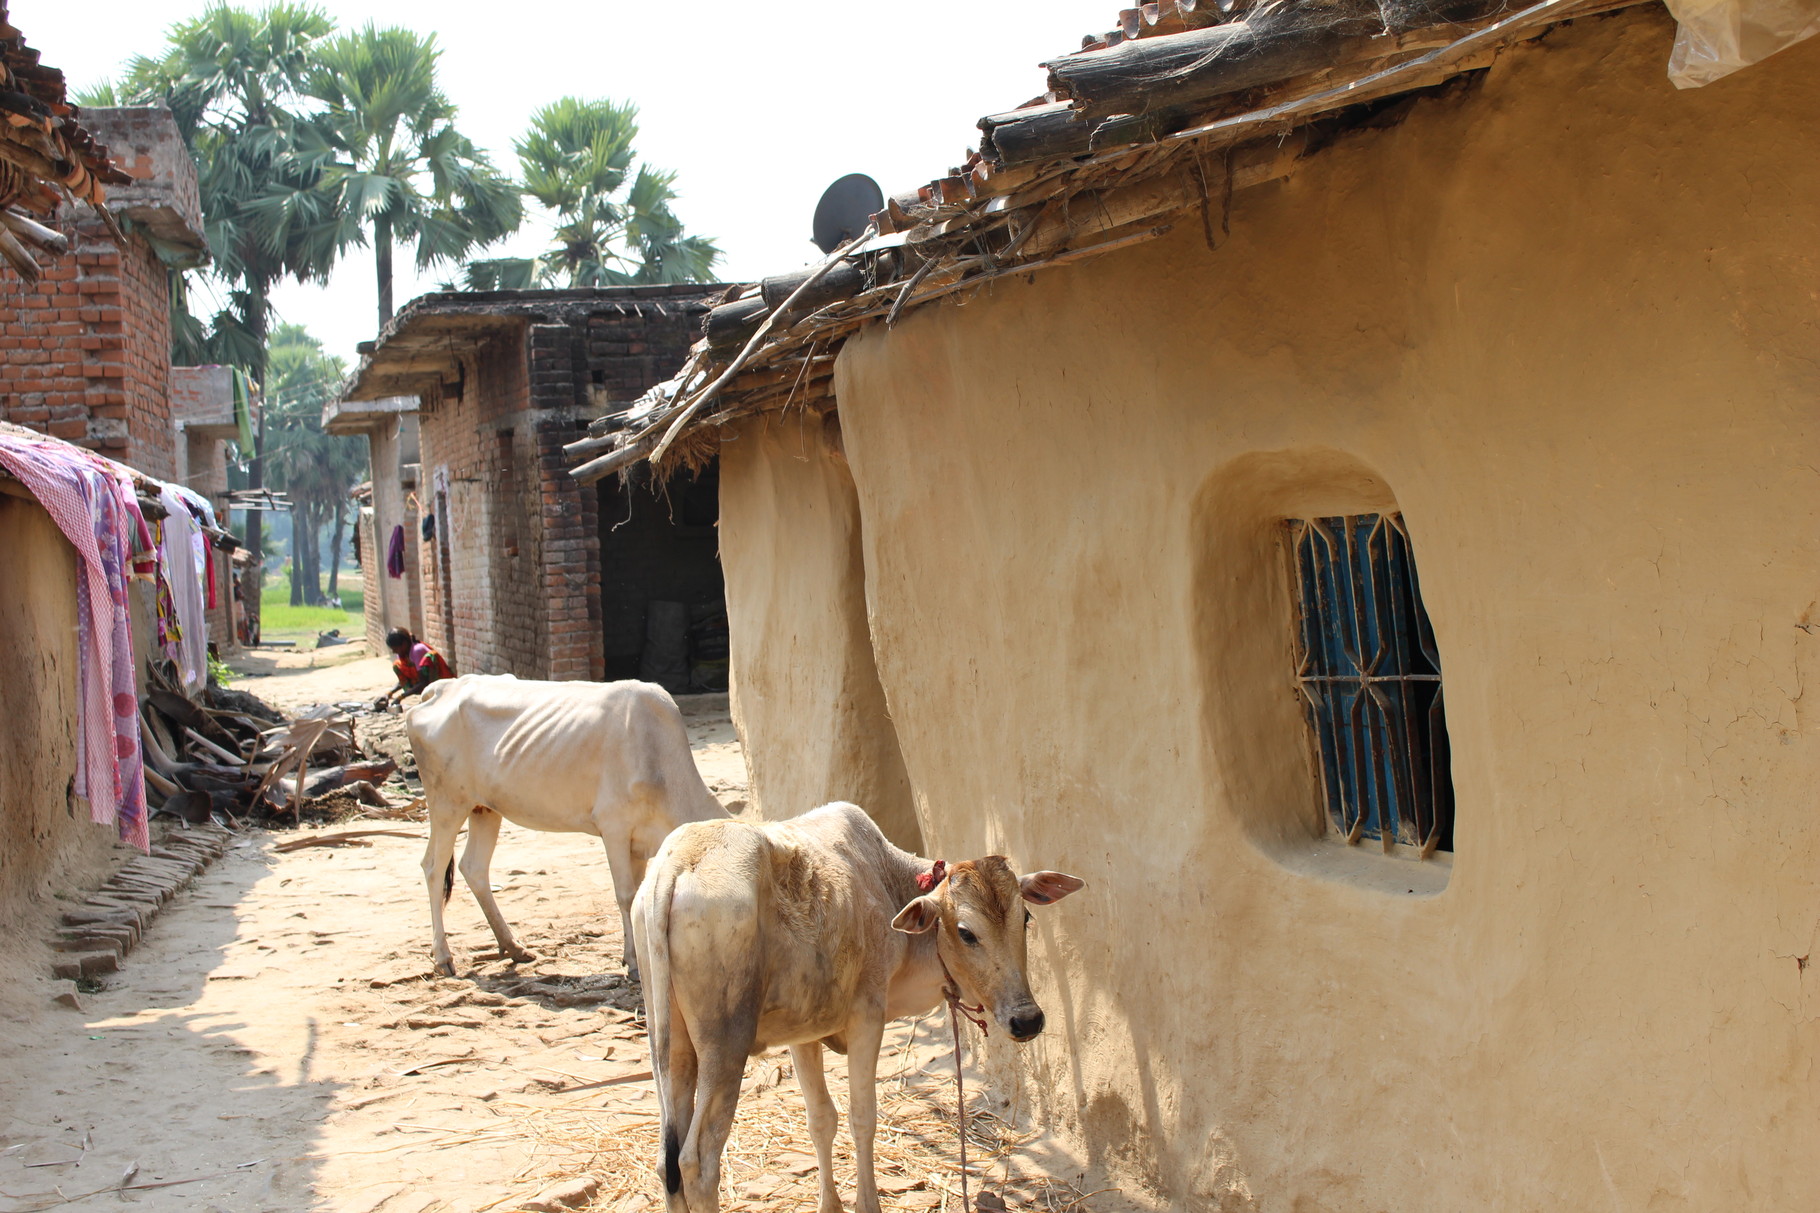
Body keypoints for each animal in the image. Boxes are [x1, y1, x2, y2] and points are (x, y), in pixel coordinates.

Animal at [409, 673, 728, 976]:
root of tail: (439, 688)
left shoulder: (638, 844)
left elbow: (638, 894)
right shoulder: (614, 828)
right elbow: (626, 895)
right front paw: (633, 962)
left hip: (484, 809)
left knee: (474, 868)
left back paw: (512, 946)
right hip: (447, 802)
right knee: (433, 867)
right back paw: (443, 957)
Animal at [637, 797, 1077, 1202]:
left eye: (1025, 918)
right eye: (967, 932)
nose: (1027, 1019)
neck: (886, 881)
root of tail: (676, 862)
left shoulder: (803, 1034)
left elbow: (821, 1119)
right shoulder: (868, 1016)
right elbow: (862, 1118)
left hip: (672, 1049)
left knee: (666, 1162)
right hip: (726, 1044)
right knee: (697, 1161)